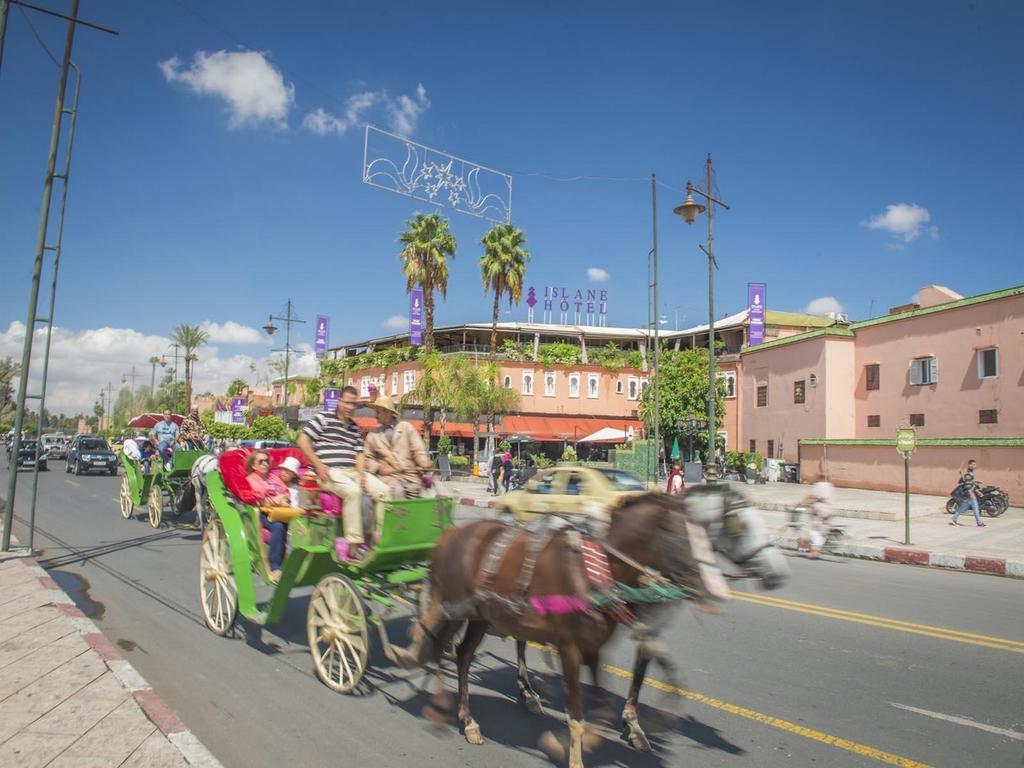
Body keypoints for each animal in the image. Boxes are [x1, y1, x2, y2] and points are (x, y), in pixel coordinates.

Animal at [387, 493, 724, 768]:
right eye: (679, 536)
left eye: (709, 539)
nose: (710, 589)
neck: (597, 571)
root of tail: (450, 534)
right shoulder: (569, 648)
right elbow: (575, 713)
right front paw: (571, 755)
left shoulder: (593, 648)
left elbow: (601, 709)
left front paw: (573, 743)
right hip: (457, 607)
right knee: (444, 646)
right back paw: (455, 713)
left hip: (480, 616)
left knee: (461, 654)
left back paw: (465, 717)